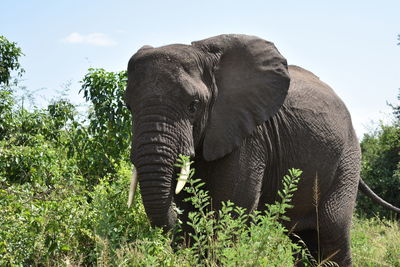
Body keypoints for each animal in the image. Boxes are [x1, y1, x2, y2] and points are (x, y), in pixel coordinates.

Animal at [123, 34, 398, 266]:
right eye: (129, 107)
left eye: (193, 106)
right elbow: (192, 213)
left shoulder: (249, 136)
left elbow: (231, 210)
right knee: (303, 240)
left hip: (346, 159)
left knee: (332, 231)